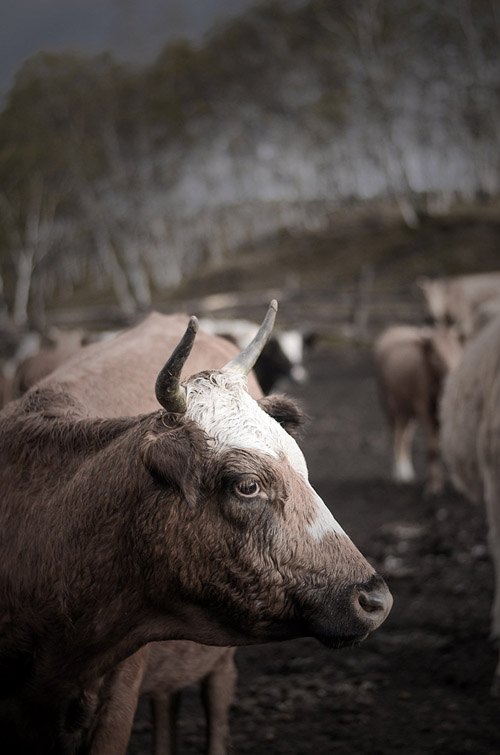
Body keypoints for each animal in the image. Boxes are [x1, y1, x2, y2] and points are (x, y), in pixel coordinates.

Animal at [376, 324, 460, 496]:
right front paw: (434, 486)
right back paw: (399, 471)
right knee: (394, 434)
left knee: (405, 435)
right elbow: (433, 448)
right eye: (435, 355)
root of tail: (395, 327)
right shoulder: (424, 409)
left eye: (456, 350)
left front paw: (457, 484)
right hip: (388, 404)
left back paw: (406, 471)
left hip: (406, 411)